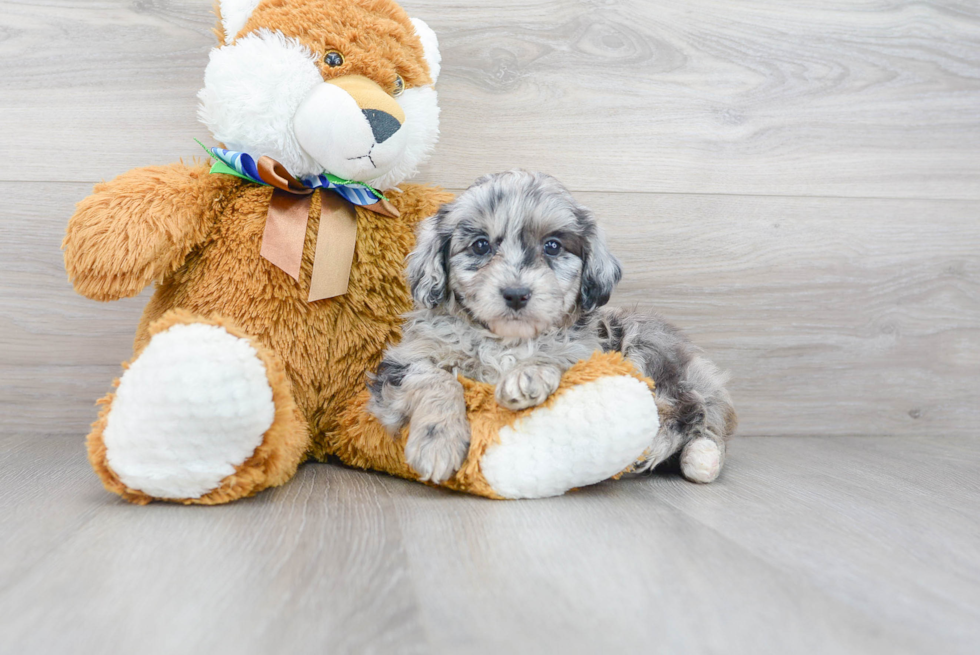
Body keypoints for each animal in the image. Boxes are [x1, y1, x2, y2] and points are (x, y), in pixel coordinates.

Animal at [368, 172, 736, 484]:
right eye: (481, 245)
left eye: (553, 246)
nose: (516, 294)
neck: (506, 341)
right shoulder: (405, 359)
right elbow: (436, 380)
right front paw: (437, 443)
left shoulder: (589, 351)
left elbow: (555, 355)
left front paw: (527, 376)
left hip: (645, 344)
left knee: (691, 411)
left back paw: (682, 453)